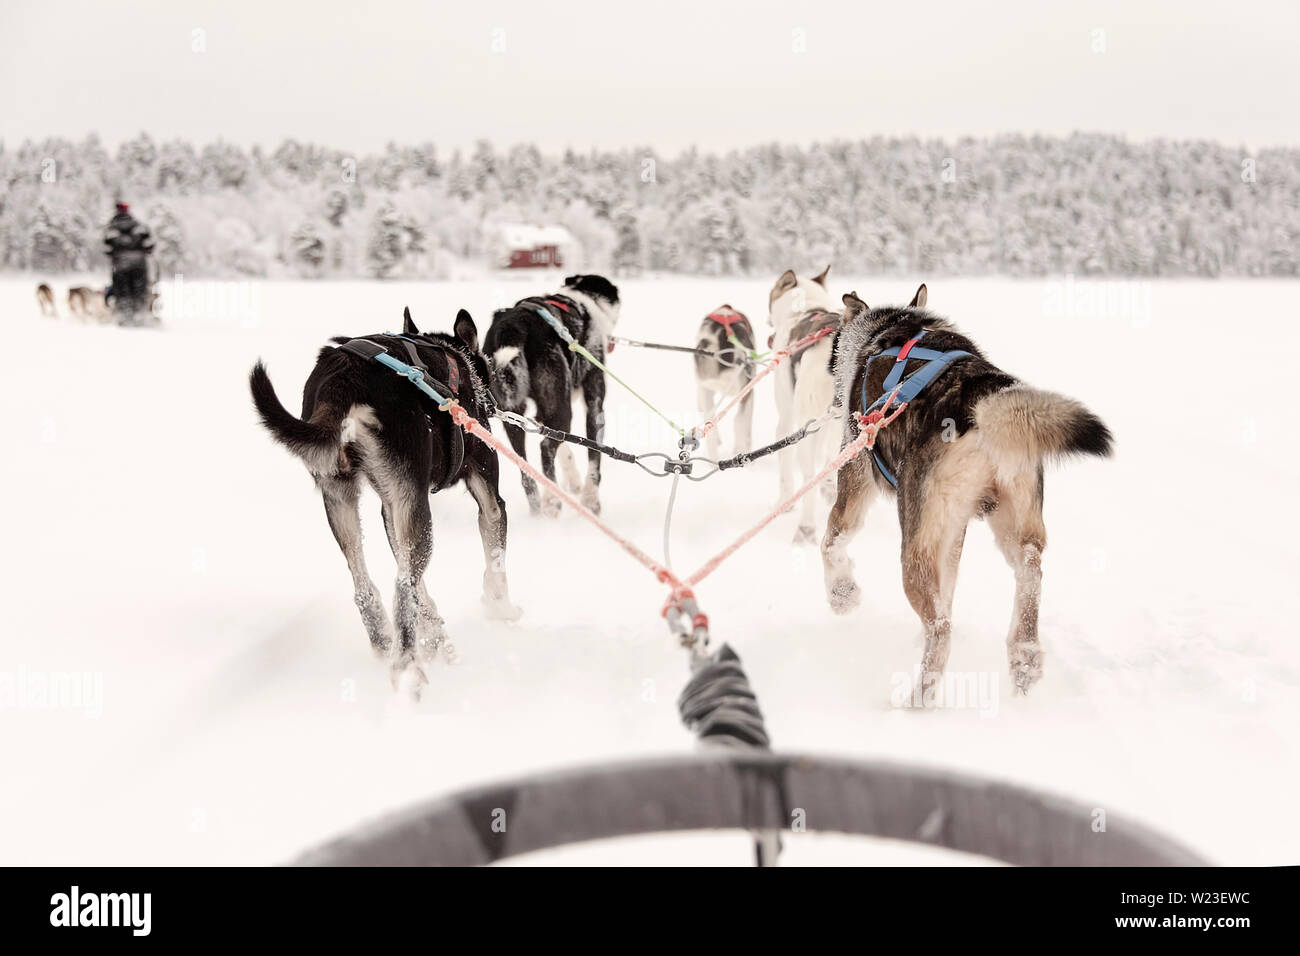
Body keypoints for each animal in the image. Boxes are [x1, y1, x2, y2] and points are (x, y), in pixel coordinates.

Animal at [248, 306, 522, 686]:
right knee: (404, 586)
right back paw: (408, 667)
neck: (457, 360)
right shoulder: (488, 495)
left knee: (369, 586)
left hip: (343, 497)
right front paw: (500, 609)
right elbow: (495, 560)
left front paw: (434, 633)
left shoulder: (392, 509)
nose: (493, 402)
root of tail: (343, 380)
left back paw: (390, 639)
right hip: (416, 508)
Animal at [486, 273, 621, 520]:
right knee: (546, 448)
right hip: (560, 405)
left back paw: (538, 508)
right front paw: (591, 500)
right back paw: (552, 501)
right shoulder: (595, 402)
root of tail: (514, 324)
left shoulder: (544, 412)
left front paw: (574, 481)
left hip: (513, 413)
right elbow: (594, 455)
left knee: (524, 463)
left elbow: (565, 448)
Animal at [821, 283, 1118, 697]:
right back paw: (1024, 654)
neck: (886, 327)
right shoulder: (954, 531)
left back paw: (919, 698)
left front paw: (842, 595)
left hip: (915, 546)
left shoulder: (854, 474)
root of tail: (979, 397)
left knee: (941, 628)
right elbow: (949, 588)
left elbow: (832, 542)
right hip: (1011, 518)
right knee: (1030, 568)